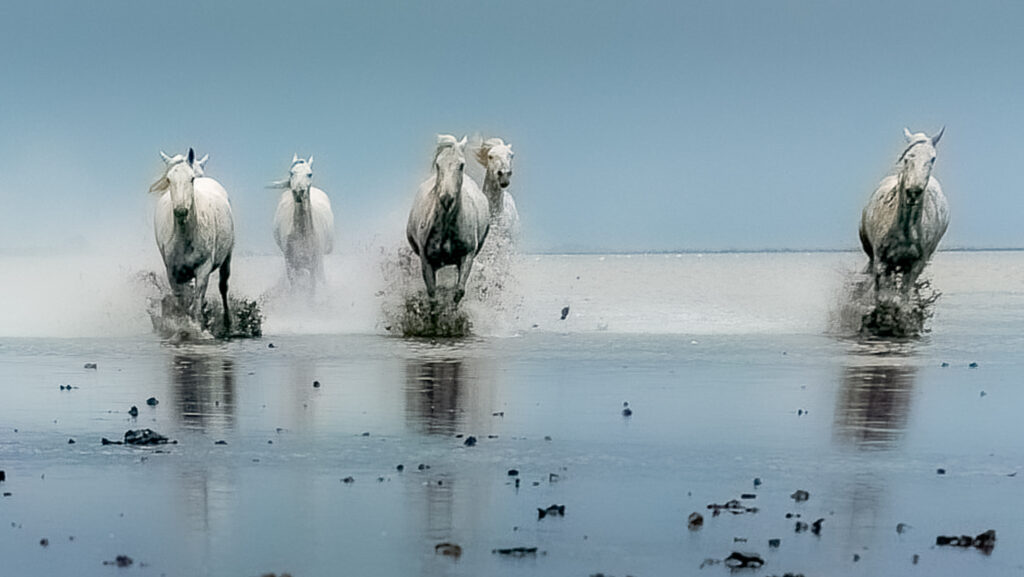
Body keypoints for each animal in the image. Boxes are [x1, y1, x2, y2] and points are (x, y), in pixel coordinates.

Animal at [150, 148, 235, 330]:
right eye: (169, 179)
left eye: (191, 178)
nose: (181, 210)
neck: (185, 238)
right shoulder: (172, 272)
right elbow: (181, 304)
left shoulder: (203, 269)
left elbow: (196, 305)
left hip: (228, 255)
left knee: (223, 286)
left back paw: (228, 322)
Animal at [270, 155, 335, 291]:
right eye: (291, 172)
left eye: (309, 174)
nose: (299, 191)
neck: (303, 236)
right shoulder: (290, 264)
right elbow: (295, 287)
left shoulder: (315, 263)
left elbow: (312, 289)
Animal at [406, 135, 490, 304]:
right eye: (438, 165)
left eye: (461, 165)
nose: (446, 199)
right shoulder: (426, 261)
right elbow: (432, 296)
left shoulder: (467, 256)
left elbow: (458, 291)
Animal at [859, 128, 949, 299]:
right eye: (908, 158)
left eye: (932, 158)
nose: (913, 192)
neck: (905, 231)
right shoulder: (881, 262)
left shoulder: (915, 266)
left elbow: (903, 299)